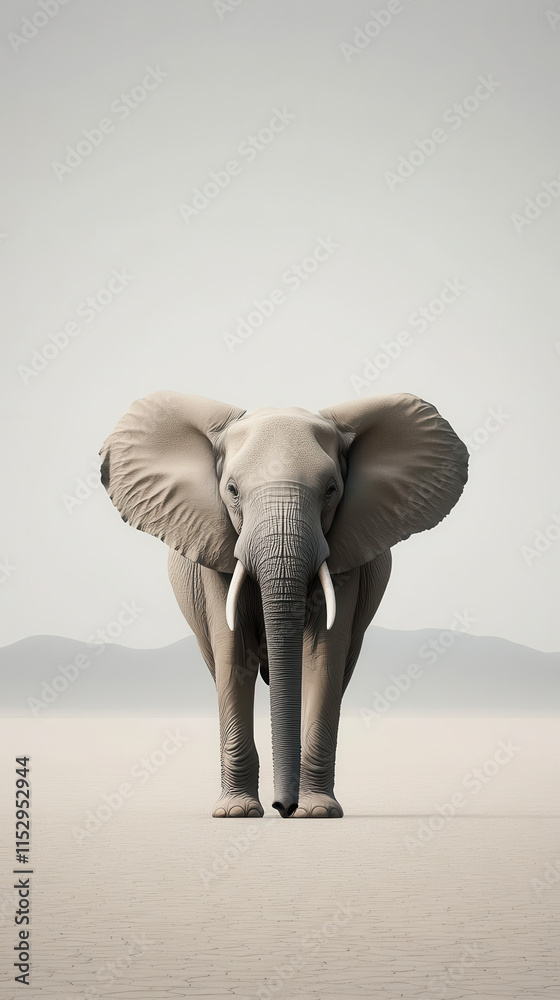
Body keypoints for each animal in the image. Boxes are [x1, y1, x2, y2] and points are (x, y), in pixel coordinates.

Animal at [99, 391, 468, 819]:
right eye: (232, 490)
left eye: (331, 490)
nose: (283, 806)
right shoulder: (216, 546)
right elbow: (233, 654)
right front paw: (236, 814)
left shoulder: (346, 554)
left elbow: (323, 655)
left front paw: (317, 813)